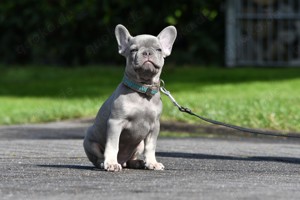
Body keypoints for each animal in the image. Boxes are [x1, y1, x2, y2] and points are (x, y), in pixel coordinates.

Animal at [82, 24, 176, 172]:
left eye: (159, 49)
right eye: (133, 50)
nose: (147, 52)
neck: (142, 89)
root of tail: (123, 161)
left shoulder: (154, 127)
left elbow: (151, 147)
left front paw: (152, 162)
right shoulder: (115, 122)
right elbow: (113, 145)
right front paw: (111, 163)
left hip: (139, 144)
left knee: (131, 158)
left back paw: (138, 162)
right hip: (89, 141)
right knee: (98, 158)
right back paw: (105, 162)